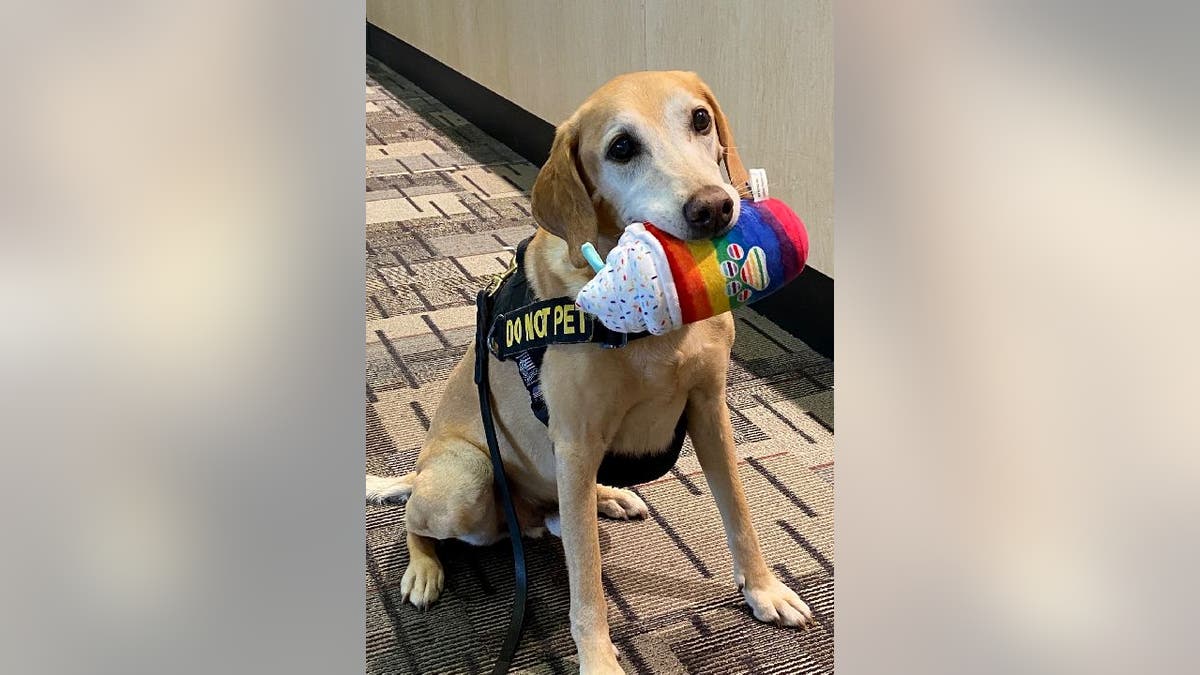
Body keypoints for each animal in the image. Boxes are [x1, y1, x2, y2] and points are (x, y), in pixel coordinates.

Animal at [364, 70, 816, 667]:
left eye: (700, 119)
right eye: (621, 148)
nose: (715, 207)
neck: (655, 325)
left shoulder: (709, 410)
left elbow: (739, 514)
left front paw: (764, 590)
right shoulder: (576, 442)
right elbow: (588, 580)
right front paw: (599, 660)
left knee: (559, 514)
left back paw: (607, 497)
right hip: (465, 481)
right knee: (417, 520)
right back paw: (423, 567)